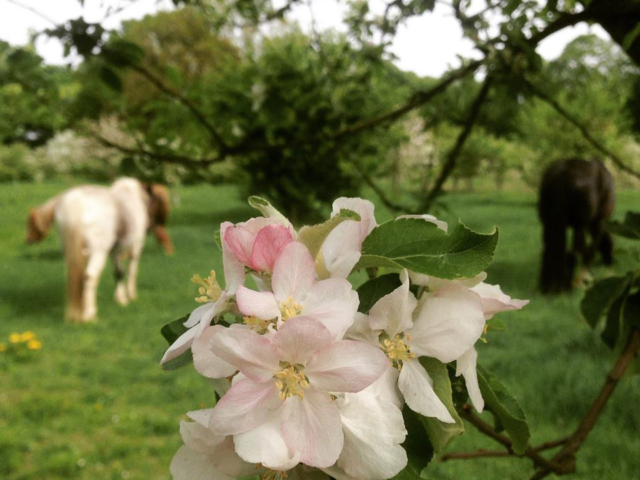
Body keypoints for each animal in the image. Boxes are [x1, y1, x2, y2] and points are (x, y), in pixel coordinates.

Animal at [26, 177, 174, 322]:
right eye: (156, 202)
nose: (156, 225)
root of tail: (76, 202)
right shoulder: (135, 246)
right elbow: (131, 271)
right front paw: (130, 295)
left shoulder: (115, 250)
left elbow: (118, 272)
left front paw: (120, 298)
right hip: (99, 253)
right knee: (90, 276)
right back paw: (89, 314)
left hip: (73, 252)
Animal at [540, 158, 616, 292]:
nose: (610, 262)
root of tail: (562, 172)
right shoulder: (597, 222)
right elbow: (590, 248)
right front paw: (586, 275)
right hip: (579, 224)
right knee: (573, 252)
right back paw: (568, 285)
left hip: (549, 222)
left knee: (548, 249)